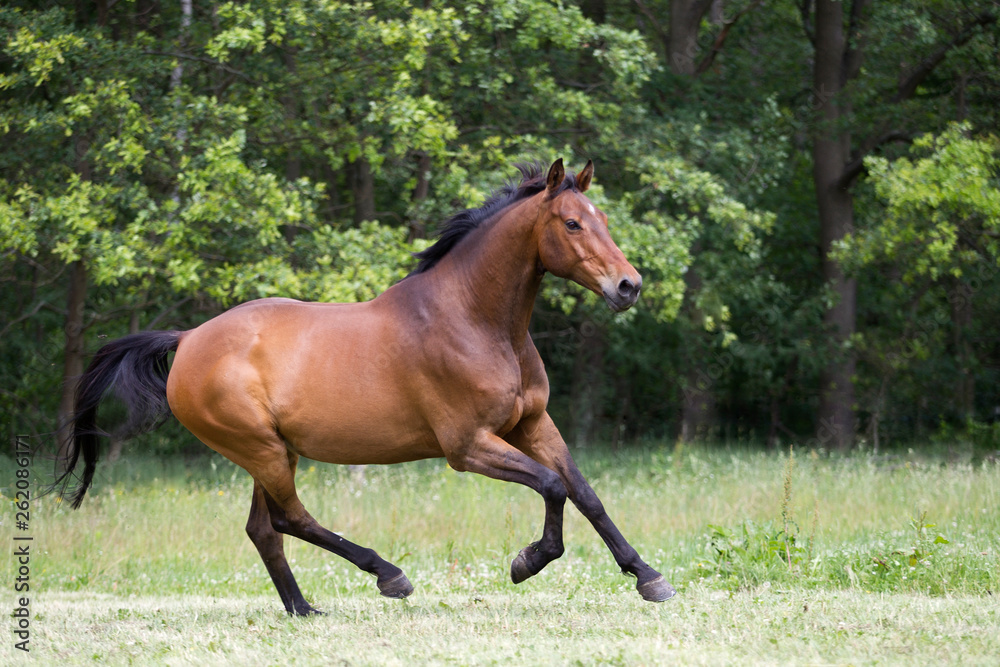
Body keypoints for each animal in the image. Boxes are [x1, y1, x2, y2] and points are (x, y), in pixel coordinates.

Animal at [60, 160, 672, 616]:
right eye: (571, 223)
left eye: (602, 218)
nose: (629, 286)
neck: (476, 320)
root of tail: (187, 340)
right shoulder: (467, 446)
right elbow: (552, 486)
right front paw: (526, 562)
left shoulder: (532, 424)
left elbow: (585, 493)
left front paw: (648, 576)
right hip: (261, 449)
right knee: (289, 519)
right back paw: (389, 576)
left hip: (270, 451)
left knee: (264, 528)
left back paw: (304, 609)